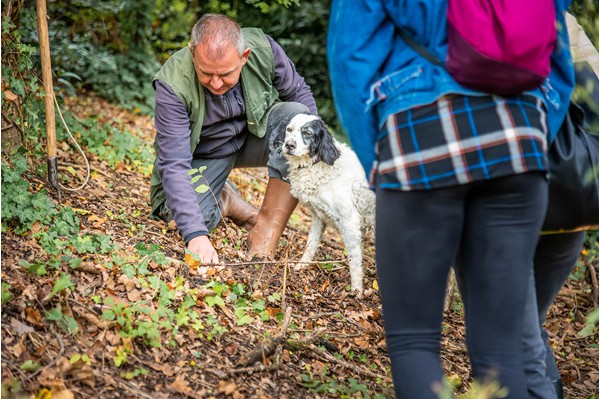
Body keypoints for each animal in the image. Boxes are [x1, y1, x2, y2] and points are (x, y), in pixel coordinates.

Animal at [278, 114, 376, 296]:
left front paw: (357, 289)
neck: (318, 164)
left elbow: (354, 259)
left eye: (308, 133)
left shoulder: (349, 221)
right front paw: (301, 266)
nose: (289, 145)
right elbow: (311, 244)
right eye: (289, 129)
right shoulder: (318, 217)